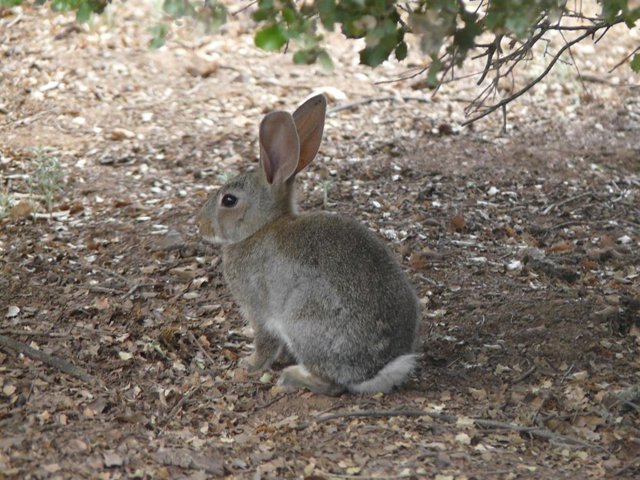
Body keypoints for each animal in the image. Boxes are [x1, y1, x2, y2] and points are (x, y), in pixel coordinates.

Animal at [196, 94, 419, 396]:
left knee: (331, 384)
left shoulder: (259, 310)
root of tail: (376, 370)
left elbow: (264, 342)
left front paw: (249, 364)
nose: (199, 224)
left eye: (229, 200)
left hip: (303, 321)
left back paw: (292, 377)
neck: (260, 228)